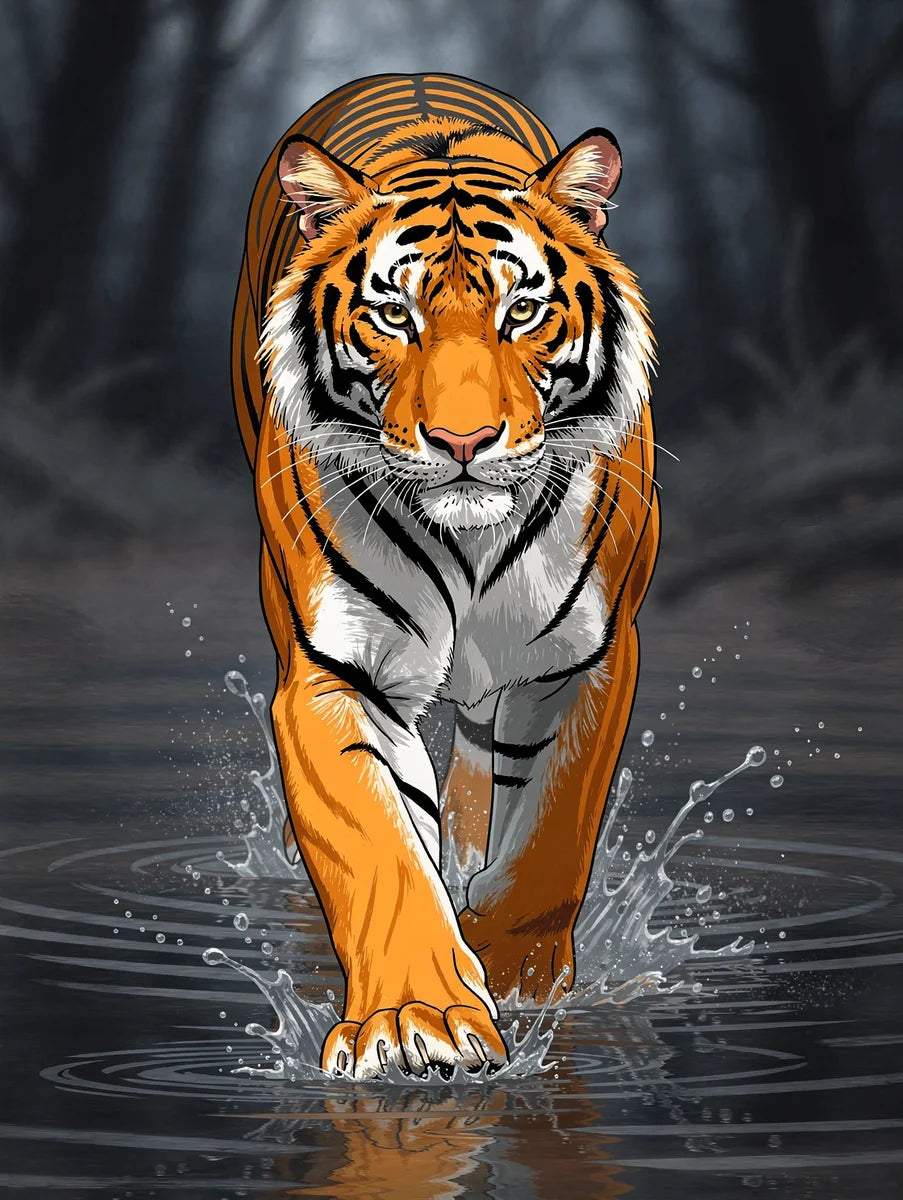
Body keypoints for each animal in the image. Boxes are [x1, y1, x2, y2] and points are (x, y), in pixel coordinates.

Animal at [231, 73, 659, 1080]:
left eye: (522, 313)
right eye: (395, 316)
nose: (463, 442)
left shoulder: (586, 660)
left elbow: (550, 838)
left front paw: (517, 975)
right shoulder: (333, 673)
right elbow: (378, 849)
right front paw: (414, 1020)